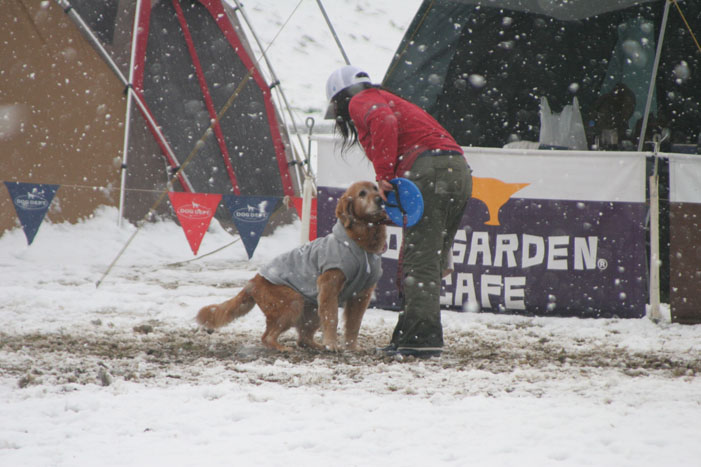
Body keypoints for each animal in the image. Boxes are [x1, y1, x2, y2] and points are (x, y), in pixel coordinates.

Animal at [194, 182, 386, 352]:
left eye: (376, 188)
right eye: (362, 193)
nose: (380, 199)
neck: (361, 245)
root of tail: (253, 280)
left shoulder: (361, 295)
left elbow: (354, 324)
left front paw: (352, 347)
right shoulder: (329, 288)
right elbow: (332, 319)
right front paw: (331, 344)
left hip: (312, 308)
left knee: (303, 339)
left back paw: (315, 346)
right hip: (292, 302)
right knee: (267, 336)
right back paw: (282, 348)